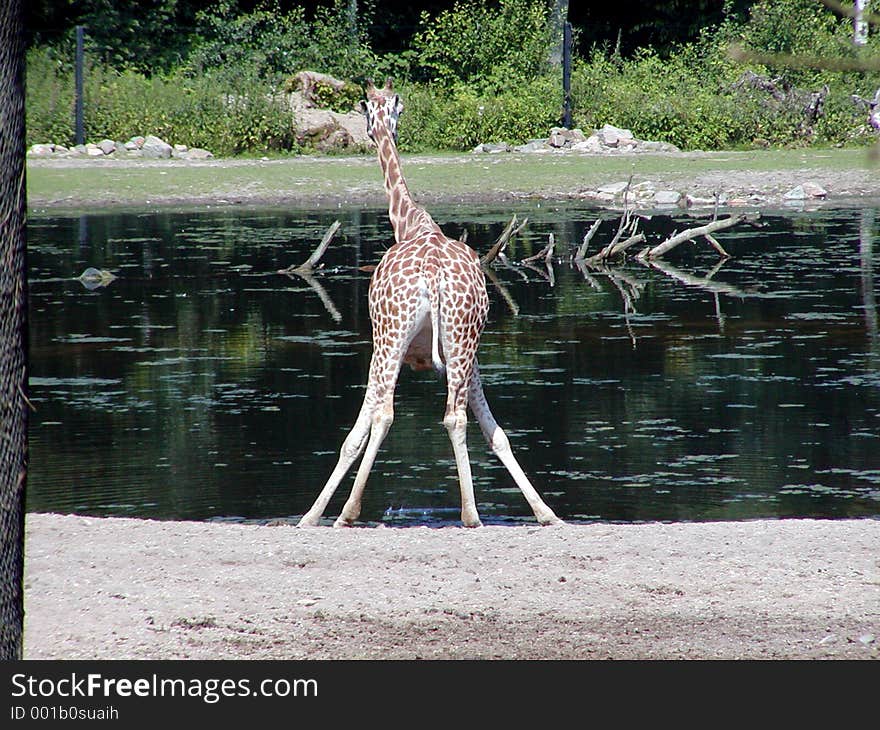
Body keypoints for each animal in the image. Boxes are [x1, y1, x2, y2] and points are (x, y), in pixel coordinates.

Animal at [294, 77, 556, 528]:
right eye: (381, 110)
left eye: (368, 111)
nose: (374, 130)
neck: (411, 223)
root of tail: (433, 278)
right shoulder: (466, 358)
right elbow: (496, 433)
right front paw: (545, 513)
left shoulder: (383, 345)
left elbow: (357, 432)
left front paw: (314, 515)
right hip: (462, 339)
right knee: (458, 416)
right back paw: (487, 513)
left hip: (390, 334)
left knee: (387, 413)